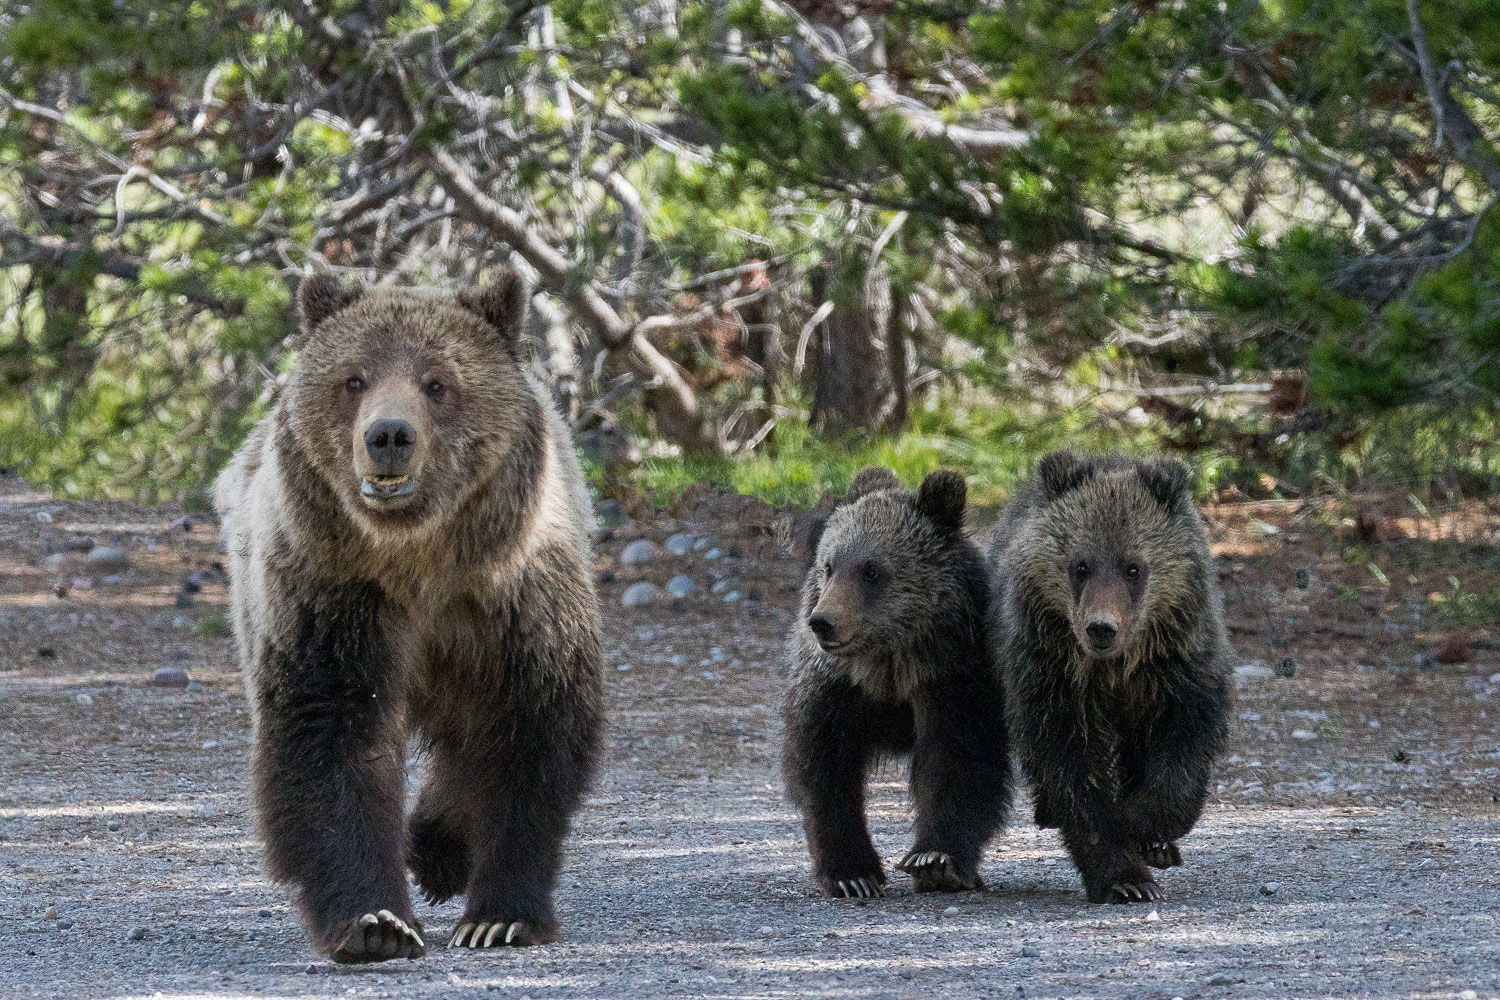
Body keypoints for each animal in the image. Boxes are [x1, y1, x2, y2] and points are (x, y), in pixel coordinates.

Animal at [217, 268, 603, 959]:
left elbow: (530, 729)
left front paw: (499, 917)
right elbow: (333, 731)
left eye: (437, 382)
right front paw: (376, 922)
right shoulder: (334, 593)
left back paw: (438, 848)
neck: (419, 559)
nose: (389, 435)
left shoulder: (515, 594)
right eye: (353, 379)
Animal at [786, 470, 1008, 899]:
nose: (823, 622)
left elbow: (959, 759)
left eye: (871, 570)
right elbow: (826, 769)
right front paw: (852, 874)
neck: (888, 666)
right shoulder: (835, 689)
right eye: (828, 567)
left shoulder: (952, 677)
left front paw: (935, 860)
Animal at [990, 452, 1224, 905]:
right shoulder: (1054, 677)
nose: (1101, 628)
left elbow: (1184, 744)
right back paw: (1049, 811)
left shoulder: (1176, 666)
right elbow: (1072, 768)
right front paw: (1125, 877)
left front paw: (1143, 824)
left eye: (1134, 567)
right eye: (1081, 566)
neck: (1115, 668)